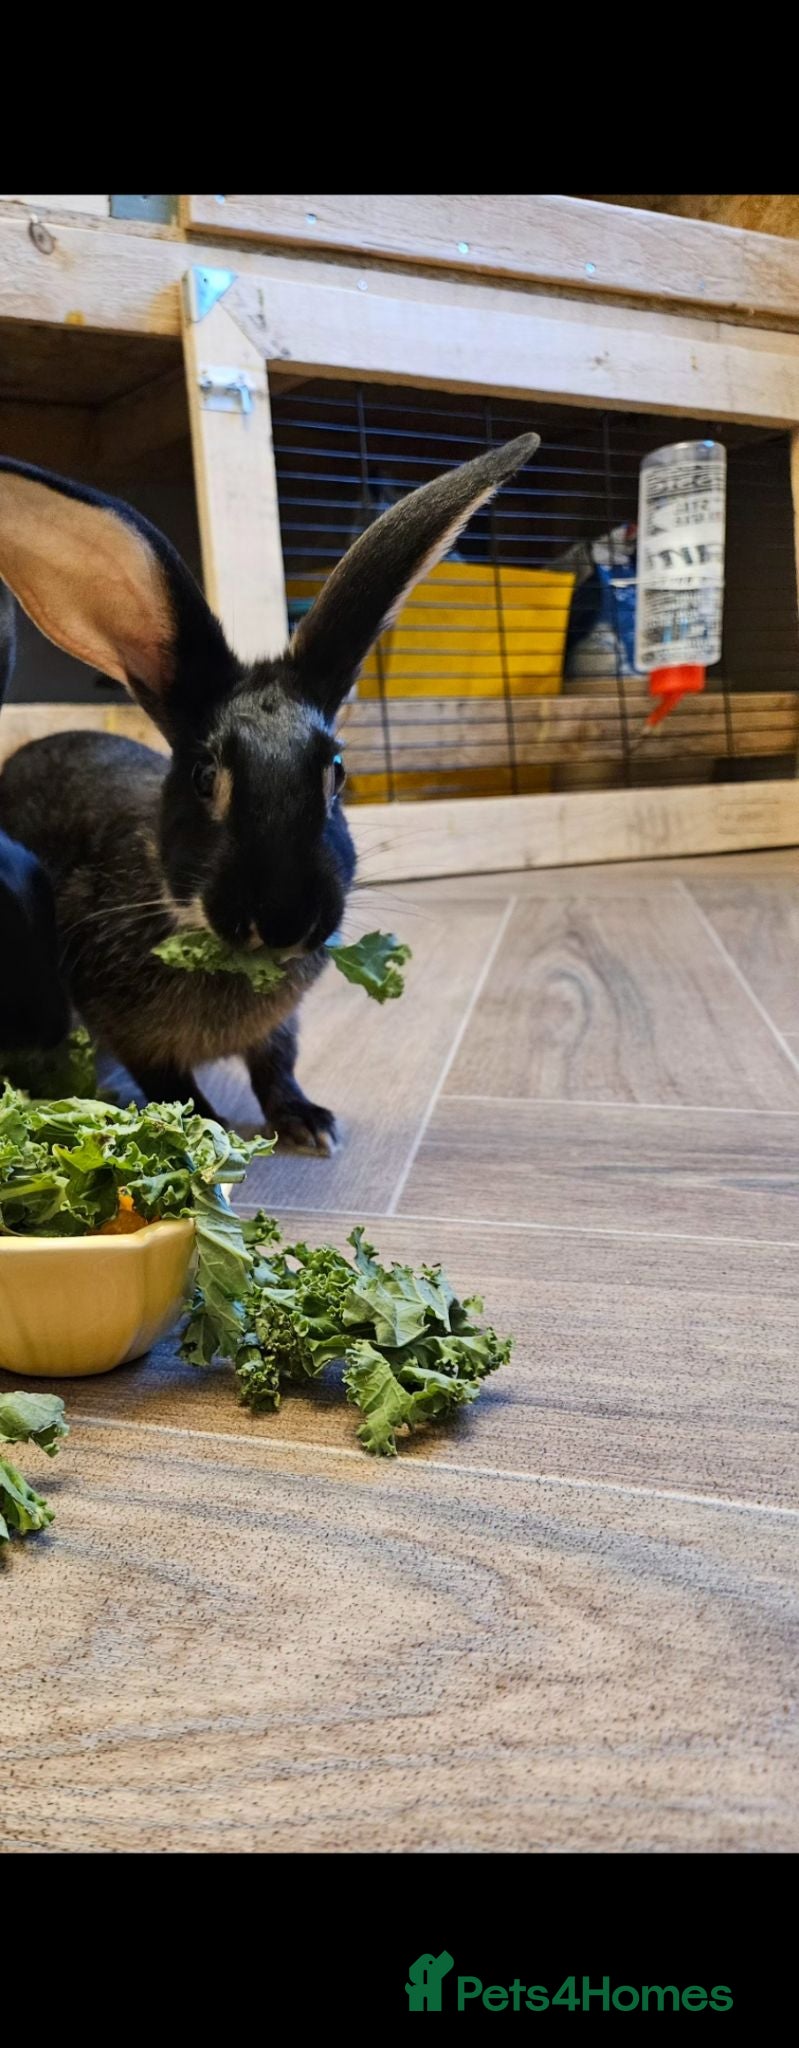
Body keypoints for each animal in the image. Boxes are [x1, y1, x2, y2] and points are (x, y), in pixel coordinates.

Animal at [0, 431, 540, 1149]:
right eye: (205, 778)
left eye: (336, 773)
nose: (284, 920)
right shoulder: (128, 1031)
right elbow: (167, 1082)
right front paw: (206, 1127)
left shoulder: (278, 1028)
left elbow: (275, 1064)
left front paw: (310, 1125)